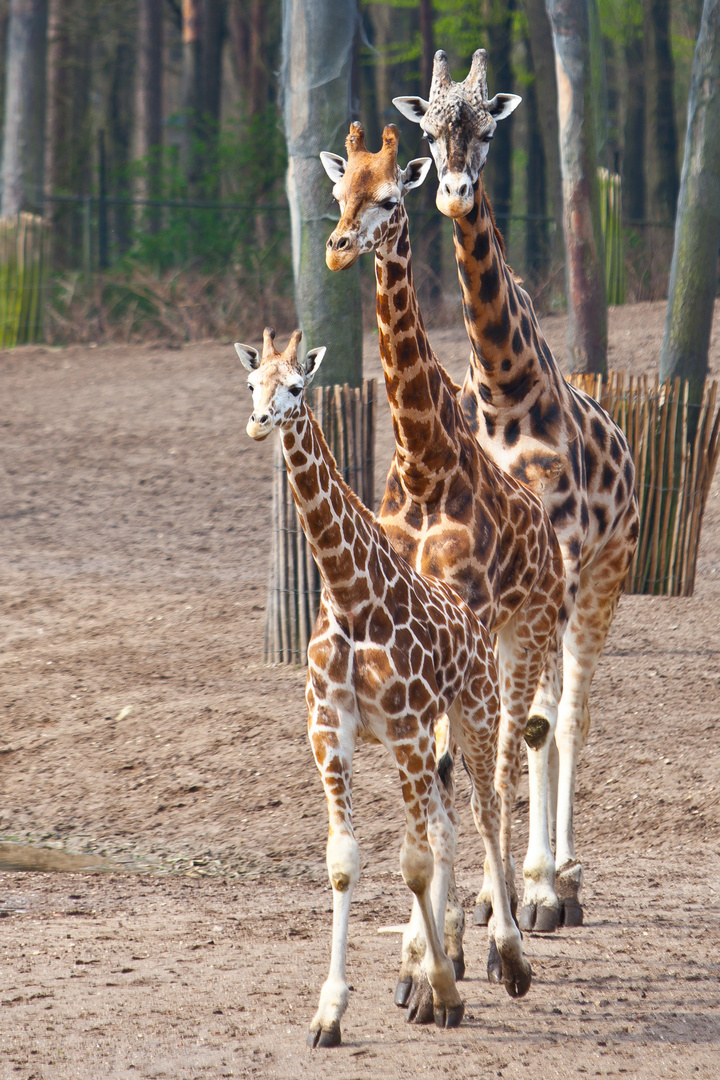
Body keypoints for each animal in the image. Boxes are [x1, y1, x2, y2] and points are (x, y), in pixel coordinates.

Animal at [239, 326, 533, 1045]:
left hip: (475, 712)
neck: (350, 595)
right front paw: (330, 1012)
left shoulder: (405, 728)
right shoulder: (328, 729)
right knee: (447, 824)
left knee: (484, 812)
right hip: (434, 738)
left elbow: (415, 862)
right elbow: (346, 860)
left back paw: (510, 959)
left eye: (298, 387)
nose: (260, 423)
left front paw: (445, 988)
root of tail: (471, 616)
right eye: (252, 384)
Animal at [321, 126, 569, 1010]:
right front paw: (426, 961)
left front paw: (442, 955)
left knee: (504, 759)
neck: (425, 464)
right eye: (338, 194)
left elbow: (456, 776)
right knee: (476, 764)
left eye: (390, 195)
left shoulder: (456, 623)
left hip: (525, 632)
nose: (336, 247)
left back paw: (509, 927)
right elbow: (431, 780)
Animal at [395, 48, 643, 928]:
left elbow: (532, 725)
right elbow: (474, 733)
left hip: (604, 576)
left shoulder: (560, 562)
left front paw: (532, 889)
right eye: (429, 131)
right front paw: (485, 892)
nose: (452, 190)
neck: (505, 389)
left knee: (570, 712)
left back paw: (564, 874)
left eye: (489, 129)